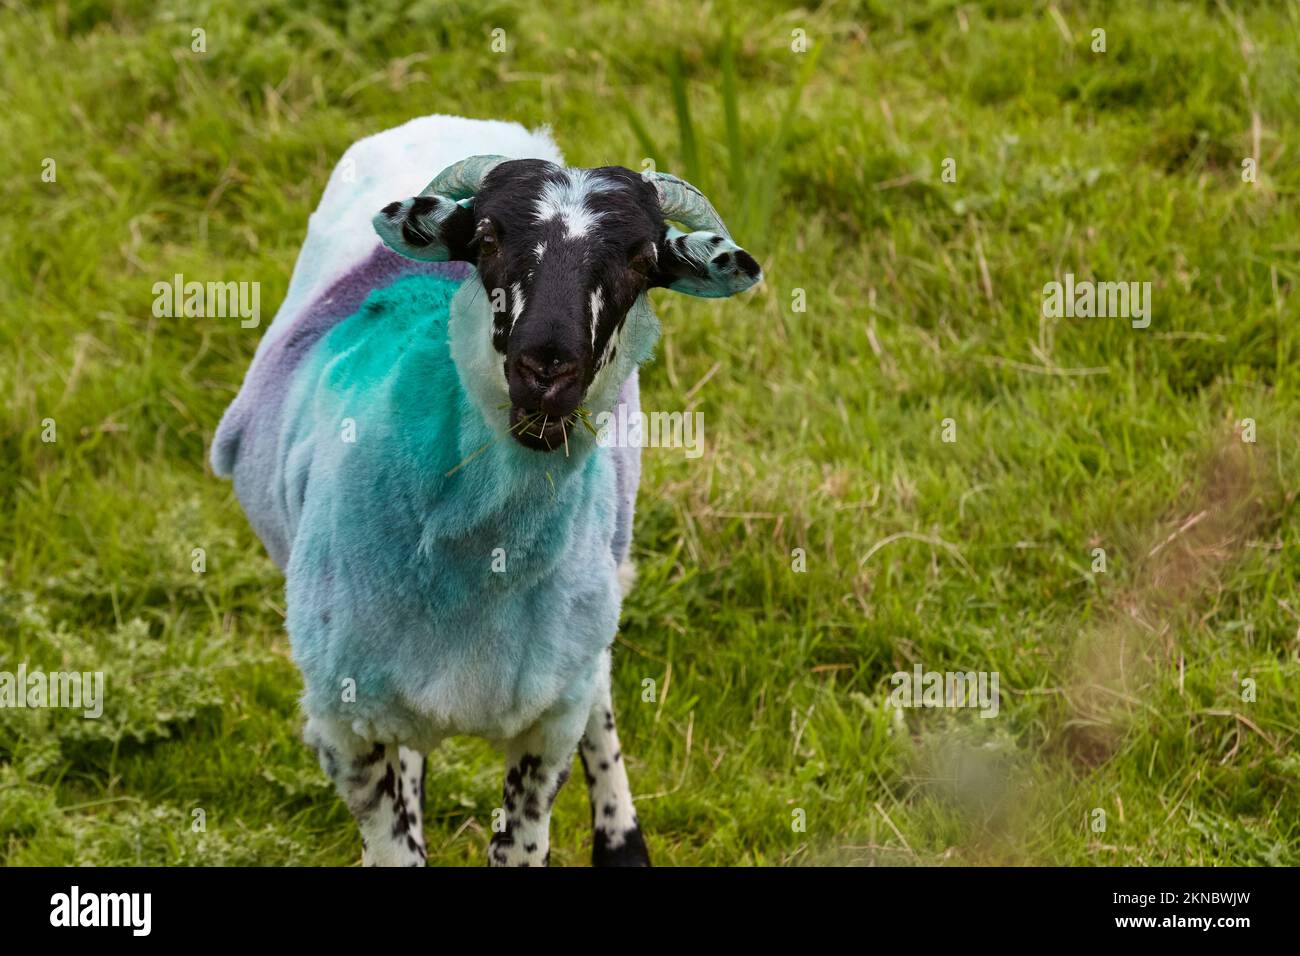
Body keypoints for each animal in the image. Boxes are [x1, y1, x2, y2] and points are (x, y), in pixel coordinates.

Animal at [210, 113, 759, 868]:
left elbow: (523, 837)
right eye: (489, 240)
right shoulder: (344, 727)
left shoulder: (546, 723)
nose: (546, 369)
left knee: (601, 689)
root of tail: (456, 119)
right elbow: (395, 846)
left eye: (644, 262)